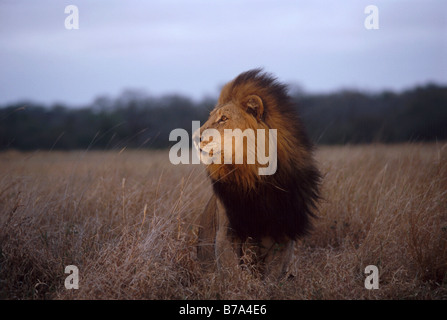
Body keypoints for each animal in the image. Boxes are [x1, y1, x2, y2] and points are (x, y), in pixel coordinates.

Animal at [194, 69, 320, 278]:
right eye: (211, 116)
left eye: (224, 118)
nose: (195, 138)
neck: (257, 178)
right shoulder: (227, 231)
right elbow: (232, 273)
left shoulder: (284, 232)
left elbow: (273, 274)